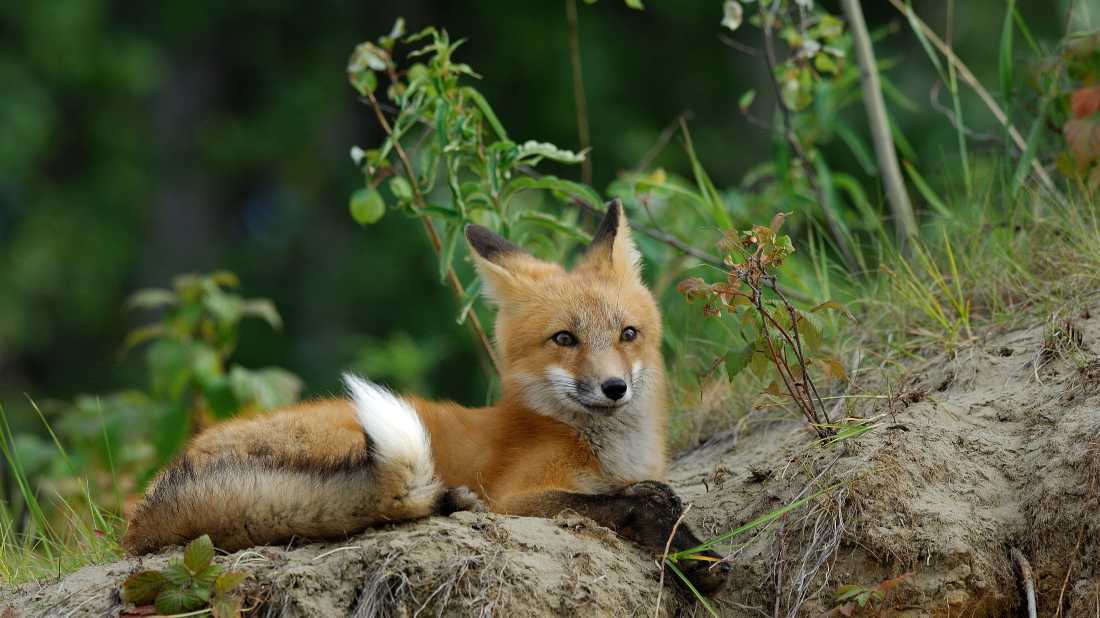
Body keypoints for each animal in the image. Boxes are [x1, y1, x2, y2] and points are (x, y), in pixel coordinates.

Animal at [122, 200, 730, 593]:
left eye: (628, 334)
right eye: (564, 339)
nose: (614, 387)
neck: (605, 448)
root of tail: (142, 512)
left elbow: (663, 496)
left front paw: (697, 554)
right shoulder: (519, 498)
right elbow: (633, 499)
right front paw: (686, 551)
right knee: (387, 501)